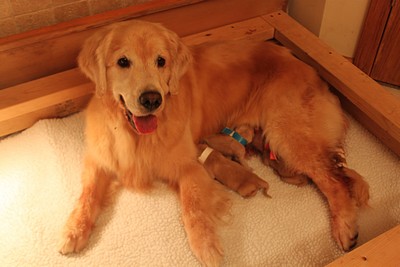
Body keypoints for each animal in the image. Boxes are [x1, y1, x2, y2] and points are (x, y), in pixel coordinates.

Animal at [60, 19, 372, 266]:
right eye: (123, 62)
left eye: (161, 61)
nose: (152, 99)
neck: (135, 134)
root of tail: (312, 72)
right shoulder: (100, 159)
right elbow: (88, 194)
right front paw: (73, 231)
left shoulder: (190, 167)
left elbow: (193, 209)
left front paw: (206, 248)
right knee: (340, 170)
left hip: (288, 135)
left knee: (334, 180)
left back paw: (345, 228)